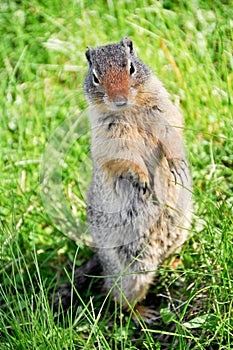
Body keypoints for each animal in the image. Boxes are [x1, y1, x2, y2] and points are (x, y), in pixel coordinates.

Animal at [53, 37, 192, 322]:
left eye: (131, 67)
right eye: (96, 77)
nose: (119, 99)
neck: (130, 111)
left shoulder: (165, 112)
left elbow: (172, 136)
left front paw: (177, 166)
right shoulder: (110, 137)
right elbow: (124, 158)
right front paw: (143, 180)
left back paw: (175, 263)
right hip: (131, 271)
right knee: (116, 298)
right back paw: (143, 313)